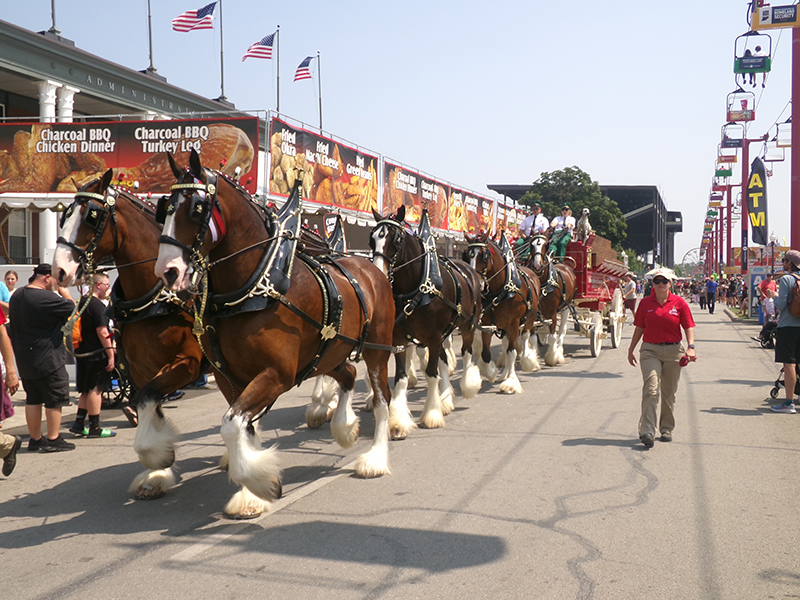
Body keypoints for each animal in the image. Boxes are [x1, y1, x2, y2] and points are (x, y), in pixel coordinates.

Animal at [52, 171, 206, 500]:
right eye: (65, 215)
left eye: (92, 216)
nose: (59, 270)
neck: (154, 299)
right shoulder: (142, 370)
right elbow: (147, 404)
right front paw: (158, 470)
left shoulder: (187, 364)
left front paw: (160, 458)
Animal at [155, 149, 396, 516]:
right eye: (165, 206)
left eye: (196, 208)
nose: (167, 271)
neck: (253, 287)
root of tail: (371, 268)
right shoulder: (229, 377)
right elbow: (244, 428)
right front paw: (251, 492)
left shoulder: (276, 374)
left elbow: (231, 425)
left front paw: (260, 484)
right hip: (329, 352)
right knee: (348, 375)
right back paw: (344, 427)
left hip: (377, 350)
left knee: (382, 399)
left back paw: (376, 459)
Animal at [368, 206, 482, 432]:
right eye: (372, 238)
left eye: (396, 239)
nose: (379, 273)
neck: (417, 288)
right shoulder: (400, 339)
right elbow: (401, 378)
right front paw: (399, 421)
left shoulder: (434, 336)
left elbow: (431, 373)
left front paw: (431, 414)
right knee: (445, 361)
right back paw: (445, 399)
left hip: (467, 325)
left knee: (466, 353)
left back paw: (467, 385)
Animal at [466, 231, 540, 394]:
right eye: (467, 255)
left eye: (484, 255)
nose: (476, 283)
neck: (501, 290)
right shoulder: (487, 324)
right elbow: (486, 353)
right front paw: (492, 372)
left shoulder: (513, 324)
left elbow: (512, 352)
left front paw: (510, 383)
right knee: (506, 345)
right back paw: (504, 373)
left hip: (529, 319)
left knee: (525, 338)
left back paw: (528, 361)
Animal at [524, 233, 576, 366]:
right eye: (531, 245)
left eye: (545, 245)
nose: (537, 265)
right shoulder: (535, 313)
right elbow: (533, 338)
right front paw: (533, 358)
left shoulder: (553, 312)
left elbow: (553, 336)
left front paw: (552, 357)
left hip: (566, 307)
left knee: (562, 330)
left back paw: (560, 352)